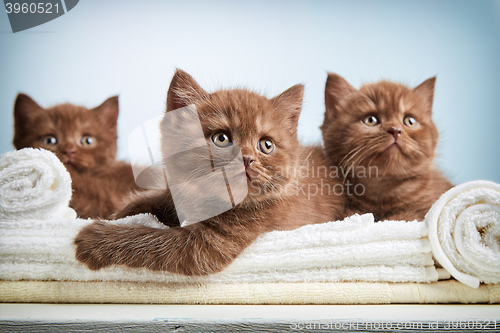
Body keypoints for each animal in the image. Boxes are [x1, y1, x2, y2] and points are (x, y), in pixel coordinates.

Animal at [74, 68, 346, 274]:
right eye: (221, 138)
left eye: (266, 145)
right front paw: (121, 213)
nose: (247, 159)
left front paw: (95, 238)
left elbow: (155, 240)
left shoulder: (208, 244)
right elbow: (154, 200)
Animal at [320, 74, 454, 222]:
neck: (382, 191)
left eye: (410, 121)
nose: (395, 130)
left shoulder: (429, 207)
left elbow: (406, 216)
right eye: (370, 120)